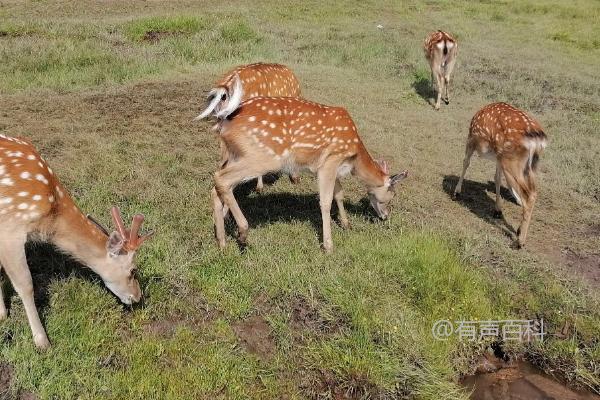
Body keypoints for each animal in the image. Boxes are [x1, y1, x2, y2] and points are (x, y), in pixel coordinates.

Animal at [0, 134, 152, 346]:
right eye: (133, 270)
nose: (138, 297)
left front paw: (2, 315)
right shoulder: (10, 227)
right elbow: (26, 284)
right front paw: (42, 342)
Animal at [210, 86, 408, 252]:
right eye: (391, 196)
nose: (385, 216)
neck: (354, 157)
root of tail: (224, 122)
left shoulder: (332, 165)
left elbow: (339, 194)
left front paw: (346, 223)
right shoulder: (330, 160)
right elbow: (326, 202)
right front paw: (328, 245)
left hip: (232, 155)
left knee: (216, 187)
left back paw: (222, 242)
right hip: (262, 157)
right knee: (221, 178)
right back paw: (243, 233)